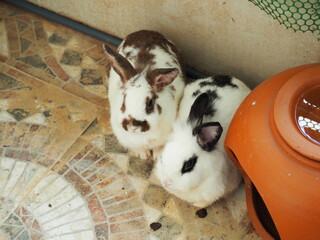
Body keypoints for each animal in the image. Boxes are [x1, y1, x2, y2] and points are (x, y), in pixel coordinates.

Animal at [104, 31, 186, 160]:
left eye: (150, 103)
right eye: (124, 100)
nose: (133, 125)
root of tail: (146, 31)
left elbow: (160, 147)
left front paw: (157, 156)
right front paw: (143, 155)